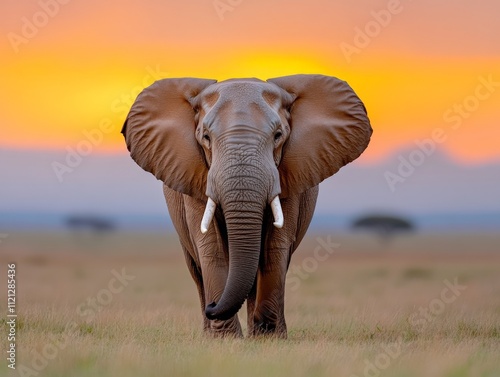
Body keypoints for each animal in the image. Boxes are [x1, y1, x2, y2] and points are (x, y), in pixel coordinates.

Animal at [121, 72, 372, 336]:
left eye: (278, 136)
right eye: (206, 137)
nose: (213, 306)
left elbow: (275, 246)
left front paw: (268, 337)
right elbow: (211, 247)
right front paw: (226, 339)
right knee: (197, 270)